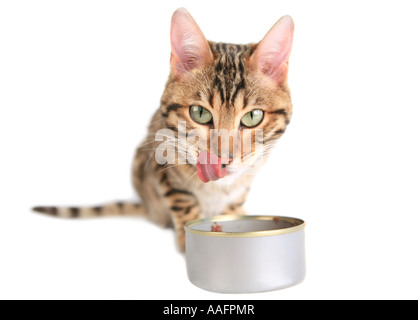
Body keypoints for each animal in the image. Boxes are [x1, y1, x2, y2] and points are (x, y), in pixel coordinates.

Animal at [32, 7, 294, 251]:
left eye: (252, 117)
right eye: (200, 113)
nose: (222, 159)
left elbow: (233, 204)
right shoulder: (161, 161)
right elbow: (184, 203)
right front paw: (189, 241)